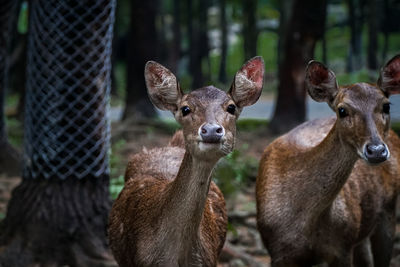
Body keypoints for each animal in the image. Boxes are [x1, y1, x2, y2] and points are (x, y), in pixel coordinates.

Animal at [256, 55, 400, 267]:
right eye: (342, 110)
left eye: (387, 105)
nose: (377, 151)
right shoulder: (279, 253)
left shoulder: (343, 247)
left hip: (388, 211)